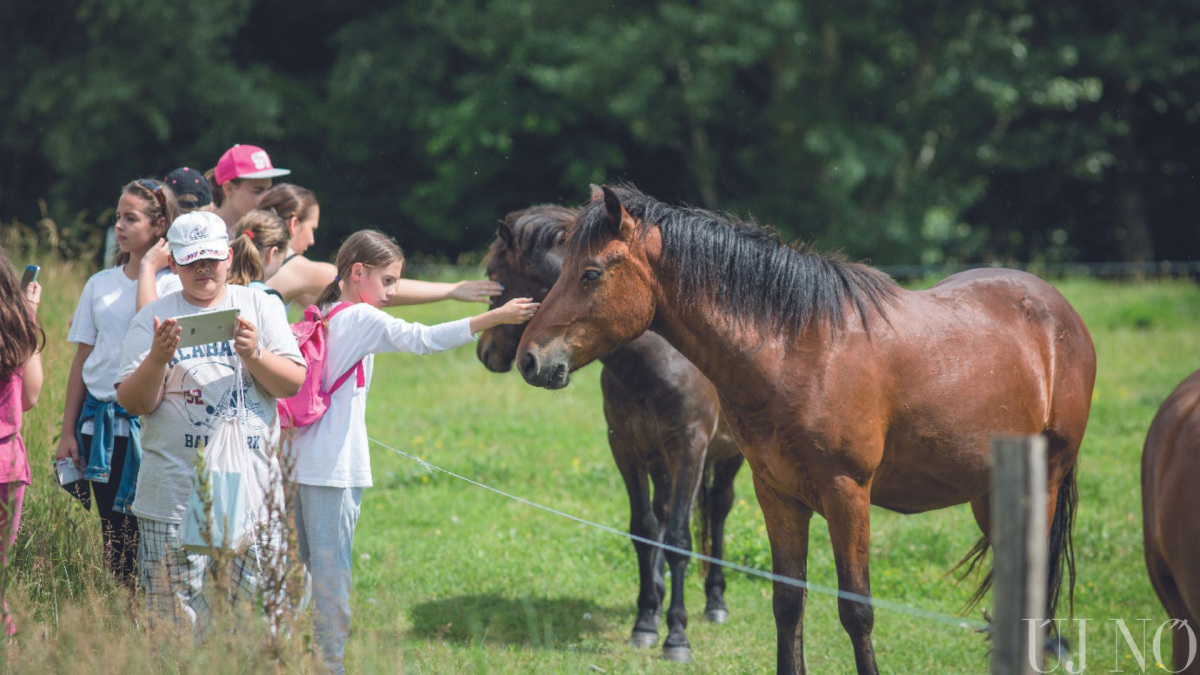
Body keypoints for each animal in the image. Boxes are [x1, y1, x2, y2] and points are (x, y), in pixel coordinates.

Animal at [475, 204, 739, 658]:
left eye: (496, 274)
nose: (486, 352)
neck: (656, 361)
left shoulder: (690, 450)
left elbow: (679, 539)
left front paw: (676, 636)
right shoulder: (627, 449)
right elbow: (644, 531)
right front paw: (646, 620)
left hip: (730, 457)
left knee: (717, 510)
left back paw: (716, 602)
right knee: (664, 511)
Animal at [516, 184, 1099, 672]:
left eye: (590, 273)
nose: (530, 359)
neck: (798, 351)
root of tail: (1060, 312)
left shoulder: (847, 495)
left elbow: (856, 610)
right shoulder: (777, 494)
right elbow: (788, 602)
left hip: (1043, 483)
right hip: (989, 493)